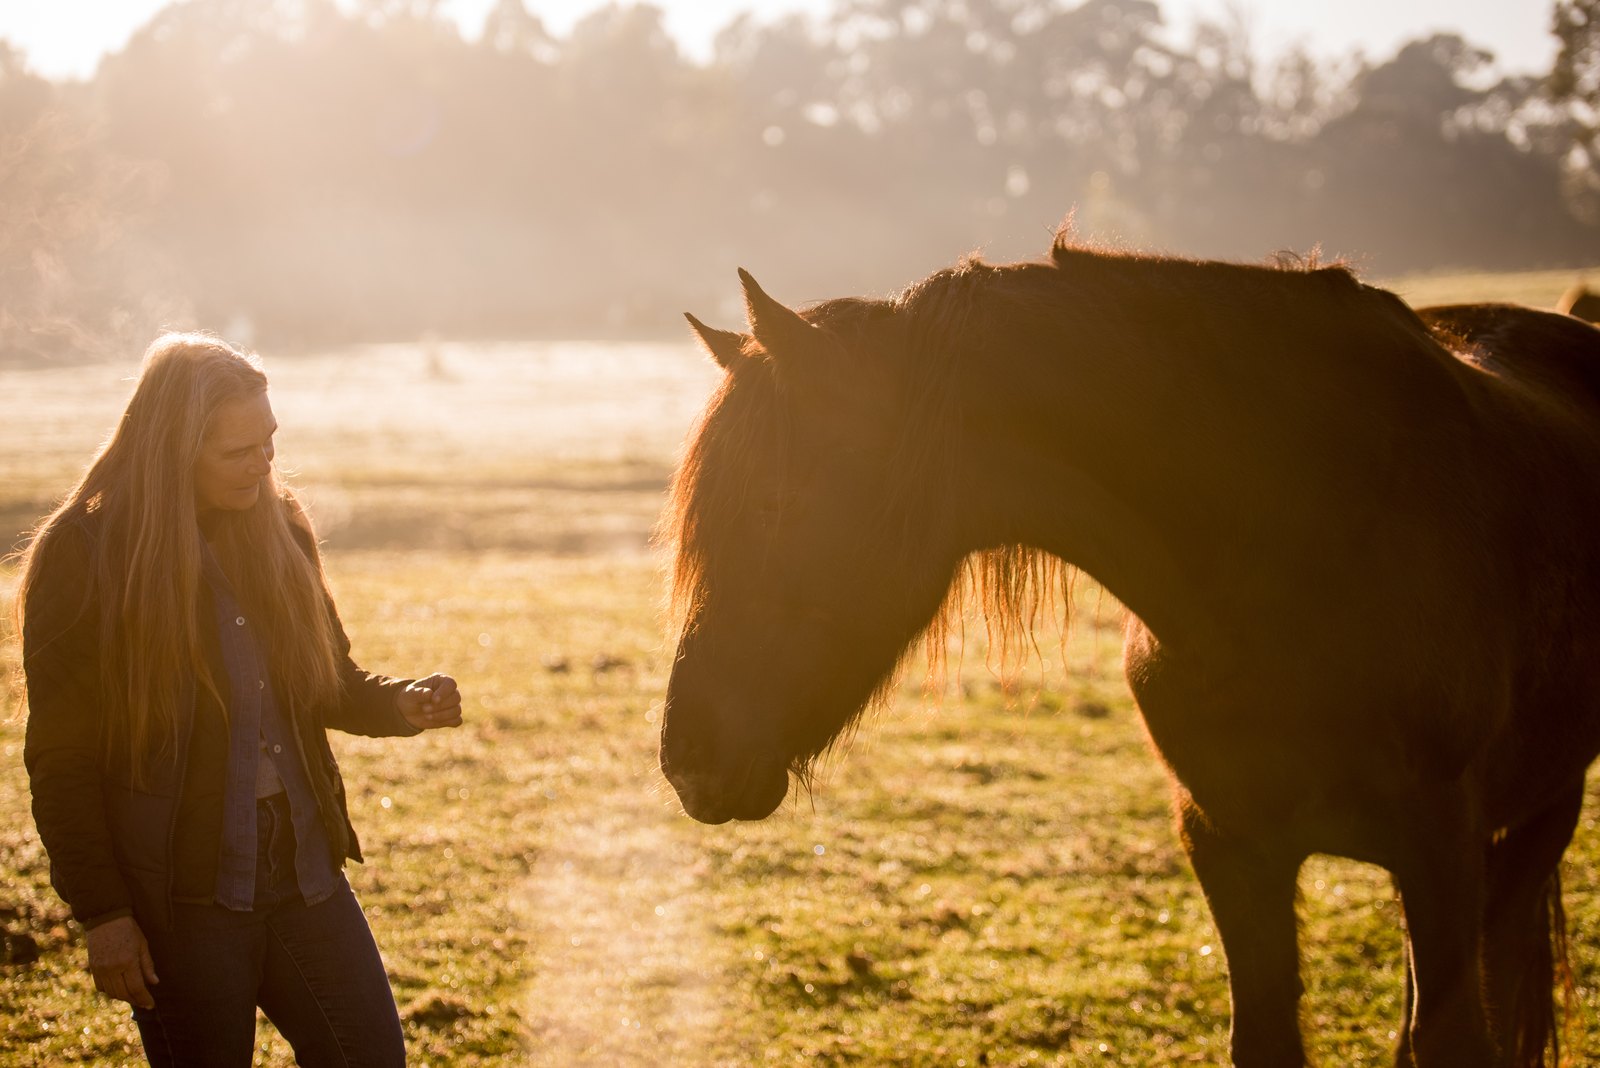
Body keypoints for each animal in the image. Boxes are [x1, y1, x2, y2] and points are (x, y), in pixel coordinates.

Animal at [656, 234, 1600, 1067]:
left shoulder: (1440, 848)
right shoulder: (1225, 840)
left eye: (774, 503)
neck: (1300, 530)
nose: (688, 760)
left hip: (1537, 818)